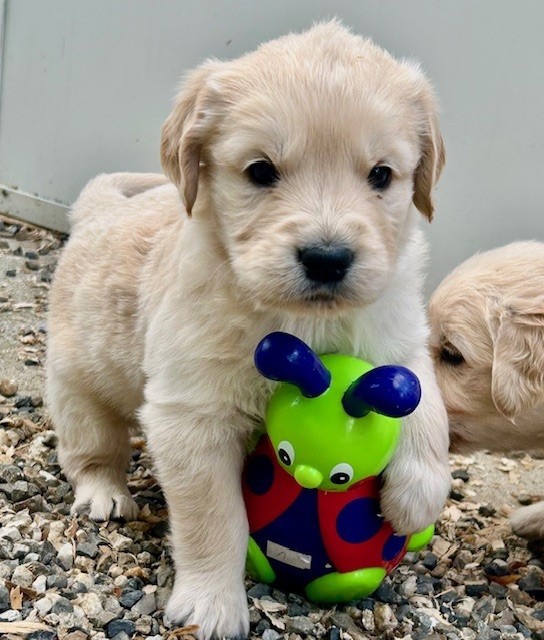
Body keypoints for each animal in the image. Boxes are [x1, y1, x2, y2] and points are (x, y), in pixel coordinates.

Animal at [46, 21, 450, 638]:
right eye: (261, 171)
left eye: (381, 175)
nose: (328, 258)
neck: (304, 323)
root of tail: (95, 212)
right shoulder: (192, 416)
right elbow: (216, 518)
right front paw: (212, 603)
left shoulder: (399, 330)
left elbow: (424, 398)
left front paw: (419, 493)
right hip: (79, 384)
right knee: (90, 447)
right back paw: (103, 492)